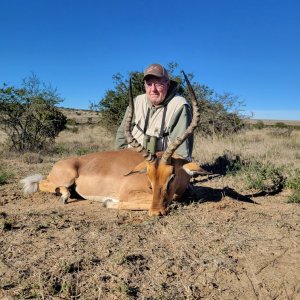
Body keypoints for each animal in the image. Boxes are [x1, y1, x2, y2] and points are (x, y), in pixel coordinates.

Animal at [21, 71, 207, 214]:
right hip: (66, 178)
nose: (156, 212)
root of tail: (60, 164)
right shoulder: (128, 193)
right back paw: (65, 196)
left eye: (172, 175)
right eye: (148, 176)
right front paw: (109, 202)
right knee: (41, 183)